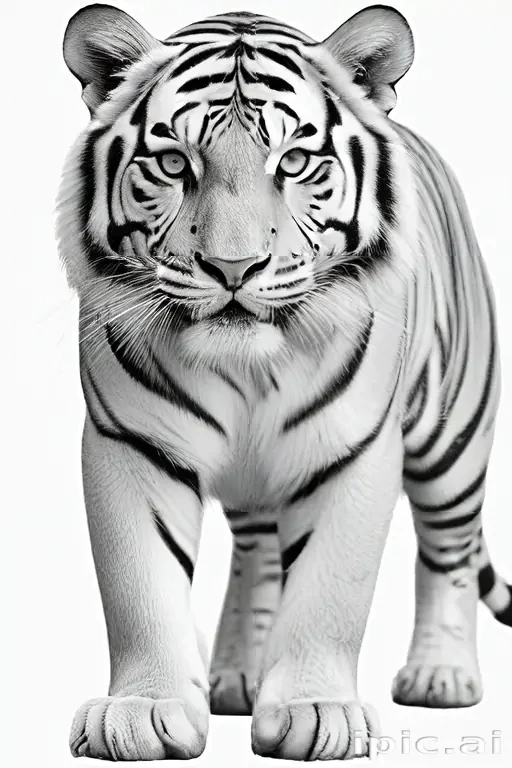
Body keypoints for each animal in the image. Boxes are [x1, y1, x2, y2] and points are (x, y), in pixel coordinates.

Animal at [57, 2, 511, 762]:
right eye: (174, 163)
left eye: (294, 161)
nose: (233, 268)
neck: (247, 368)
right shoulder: (131, 443)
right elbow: (139, 587)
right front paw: (144, 711)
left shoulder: (354, 451)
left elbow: (330, 589)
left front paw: (315, 712)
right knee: (259, 551)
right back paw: (238, 676)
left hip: (454, 434)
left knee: (448, 548)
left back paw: (441, 676)